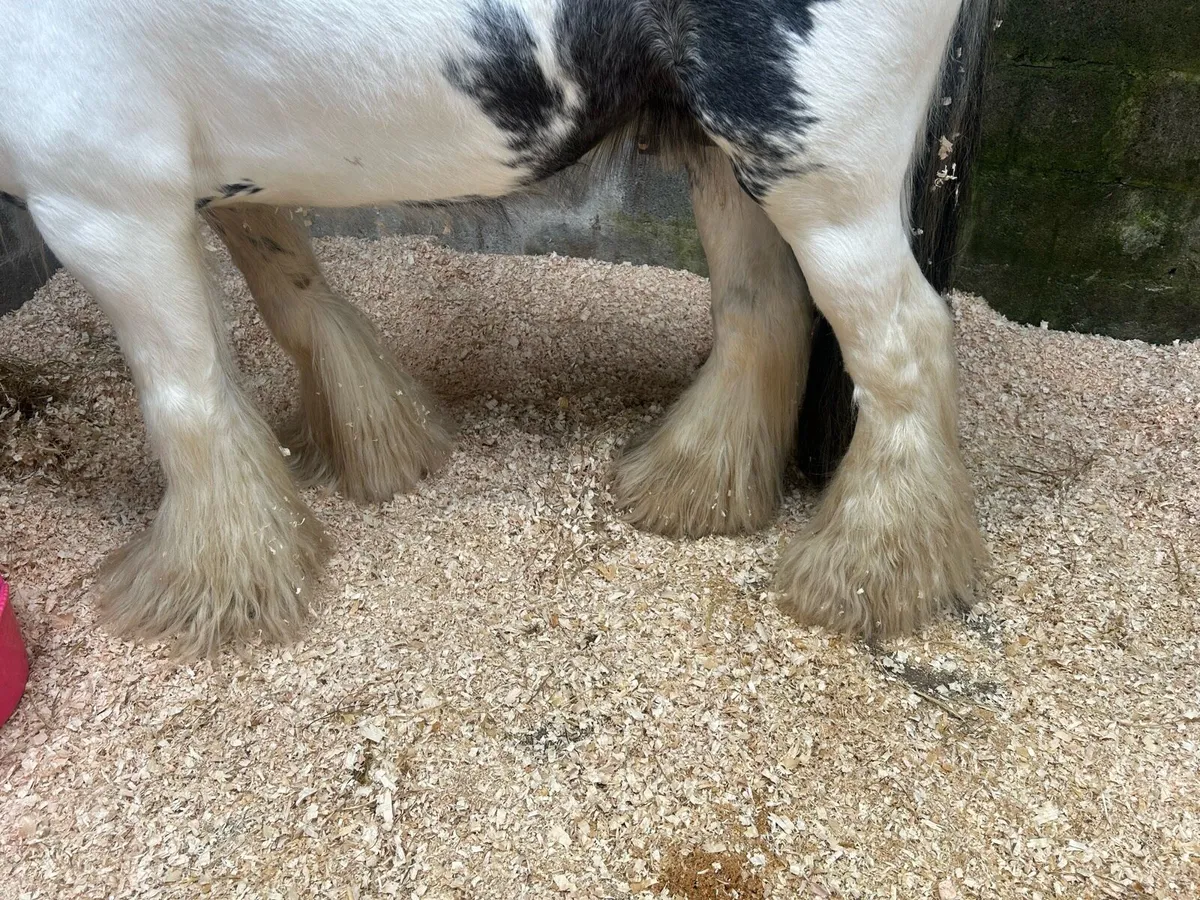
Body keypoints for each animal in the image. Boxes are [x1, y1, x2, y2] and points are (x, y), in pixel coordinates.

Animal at [0, 0, 993, 657]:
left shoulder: (102, 200)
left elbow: (186, 398)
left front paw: (207, 588)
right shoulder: (223, 182)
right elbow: (294, 300)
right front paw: (376, 449)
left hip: (817, 173)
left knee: (903, 343)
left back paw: (867, 576)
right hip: (723, 154)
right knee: (763, 312)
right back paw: (690, 486)